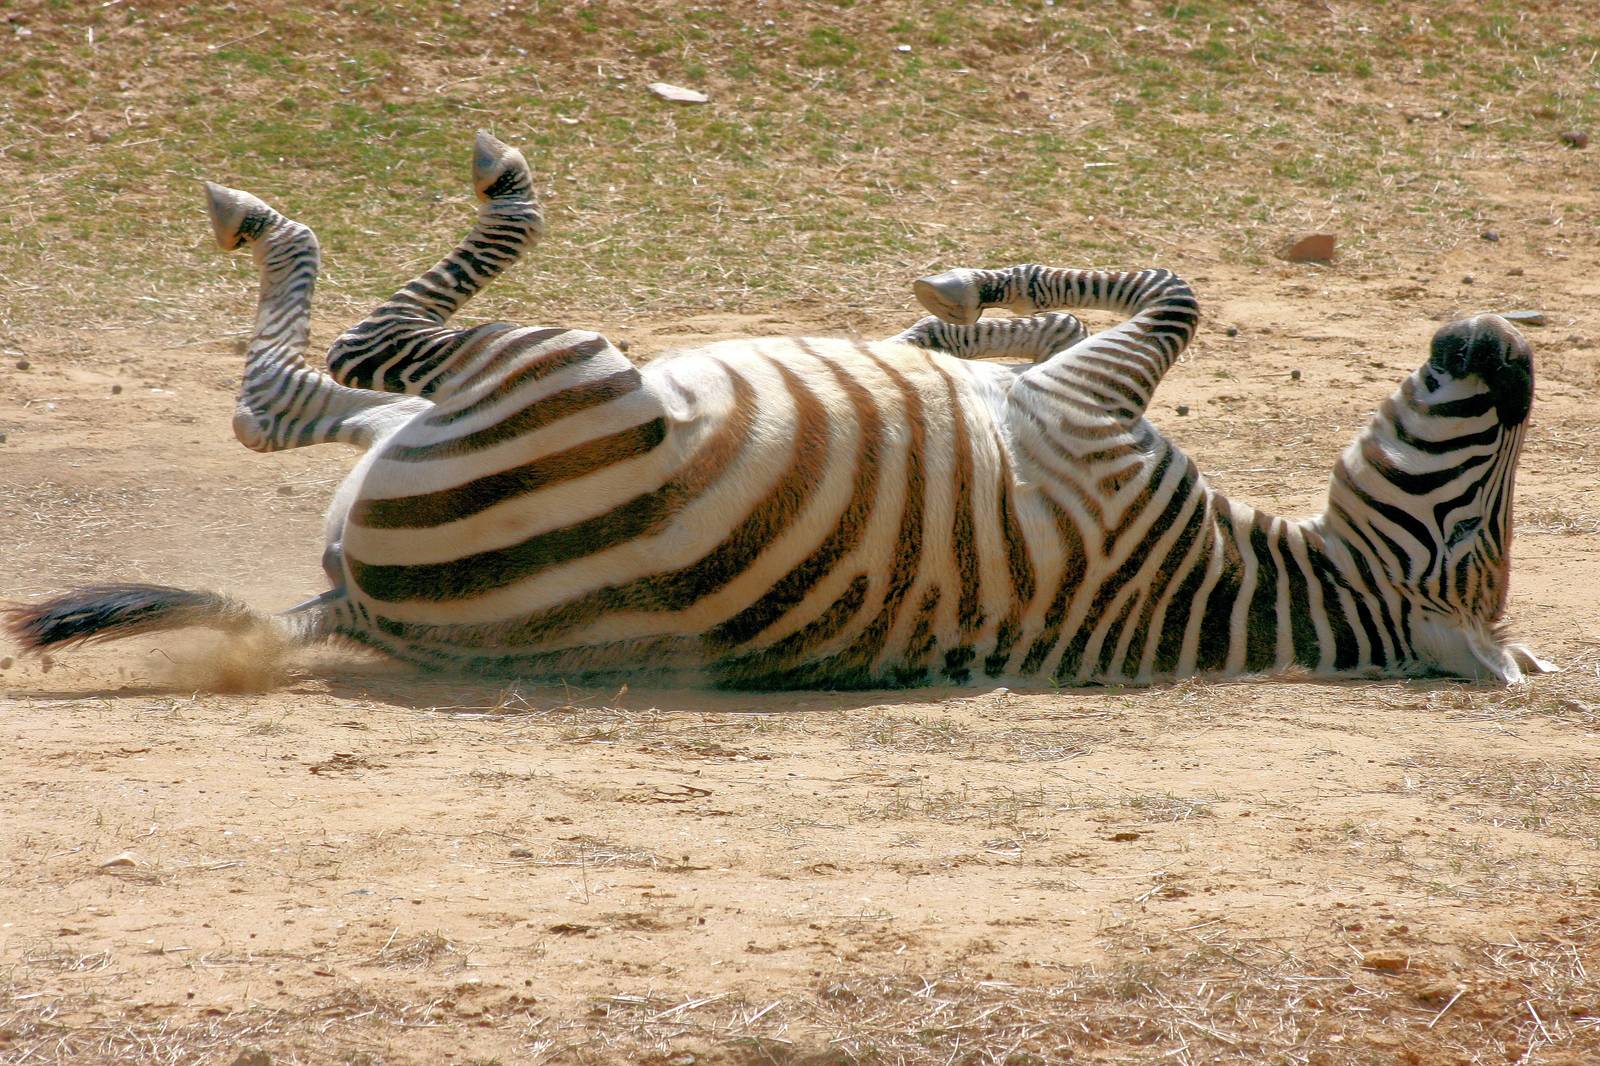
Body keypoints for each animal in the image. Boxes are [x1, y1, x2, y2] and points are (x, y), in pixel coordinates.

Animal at [4, 132, 1553, 688]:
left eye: (1467, 531)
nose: (1505, 350)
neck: (1233, 579)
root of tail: (358, 611)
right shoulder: (1074, 403)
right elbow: (1084, 315)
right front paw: (941, 324)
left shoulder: (1094, 415)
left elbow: (1171, 290)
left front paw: (951, 291)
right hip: (464, 415)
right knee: (289, 402)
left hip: (552, 373)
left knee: (317, 371)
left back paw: (356, 201)